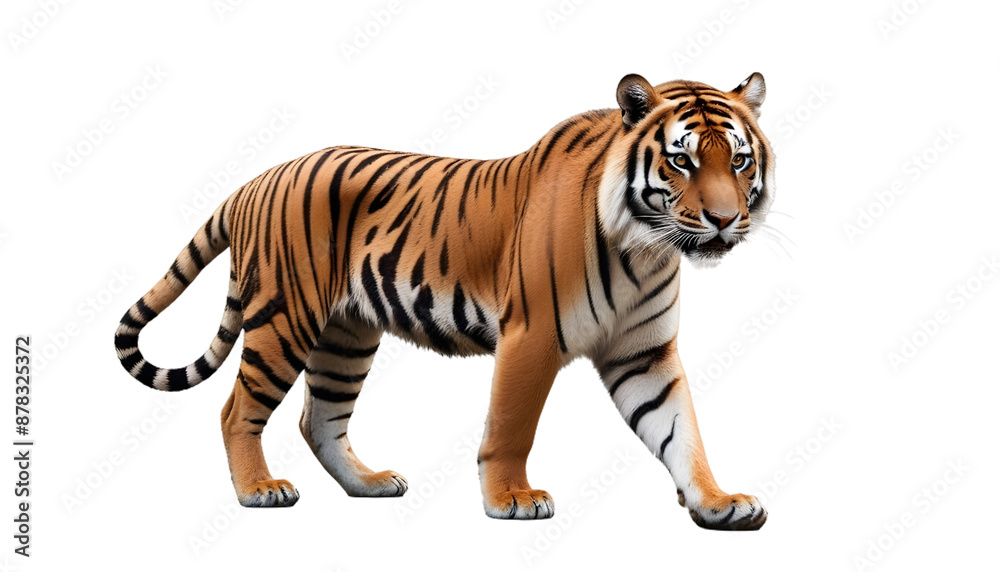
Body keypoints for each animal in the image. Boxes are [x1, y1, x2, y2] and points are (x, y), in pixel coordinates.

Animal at [115, 72, 775, 530]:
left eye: (739, 160)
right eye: (682, 159)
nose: (723, 220)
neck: (647, 247)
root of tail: (255, 181)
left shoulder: (644, 354)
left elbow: (680, 429)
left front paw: (717, 502)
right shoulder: (532, 336)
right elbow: (512, 425)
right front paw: (512, 499)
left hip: (345, 337)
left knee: (318, 418)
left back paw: (369, 484)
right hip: (285, 320)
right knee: (238, 410)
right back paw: (259, 490)